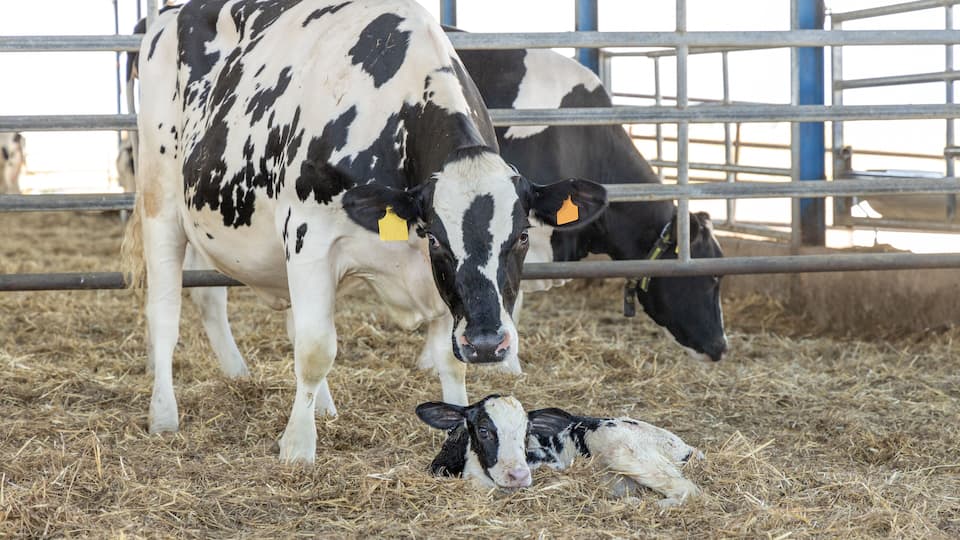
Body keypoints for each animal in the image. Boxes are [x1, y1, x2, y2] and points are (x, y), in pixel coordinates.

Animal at [126, 0, 606, 464]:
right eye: (437, 238)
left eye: (522, 236)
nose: (488, 343)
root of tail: (171, 13)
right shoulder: (309, 238)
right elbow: (316, 349)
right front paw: (297, 446)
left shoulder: (436, 286)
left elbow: (449, 360)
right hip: (160, 200)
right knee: (165, 314)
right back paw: (164, 414)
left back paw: (309, 401)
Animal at [417, 395, 702, 507]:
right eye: (483, 430)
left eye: (526, 432)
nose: (518, 475)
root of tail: (687, 447)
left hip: (620, 449)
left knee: (689, 490)